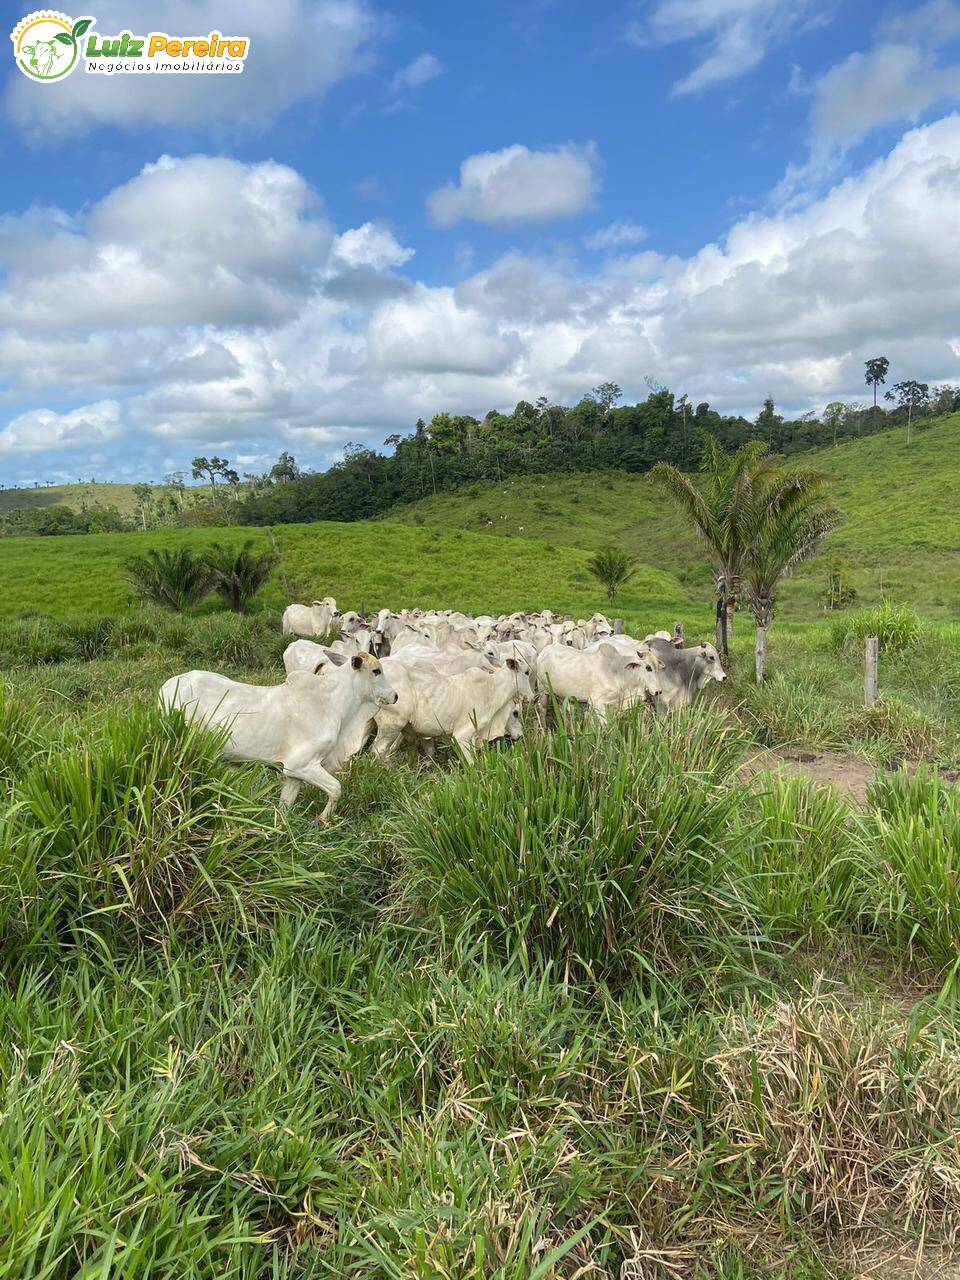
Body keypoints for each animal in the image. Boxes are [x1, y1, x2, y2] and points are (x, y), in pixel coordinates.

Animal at [160, 650, 396, 819]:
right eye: (376, 670)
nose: (395, 695)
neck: (333, 703)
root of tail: (167, 686)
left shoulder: (293, 774)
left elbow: (285, 807)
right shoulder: (302, 764)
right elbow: (336, 788)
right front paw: (323, 820)